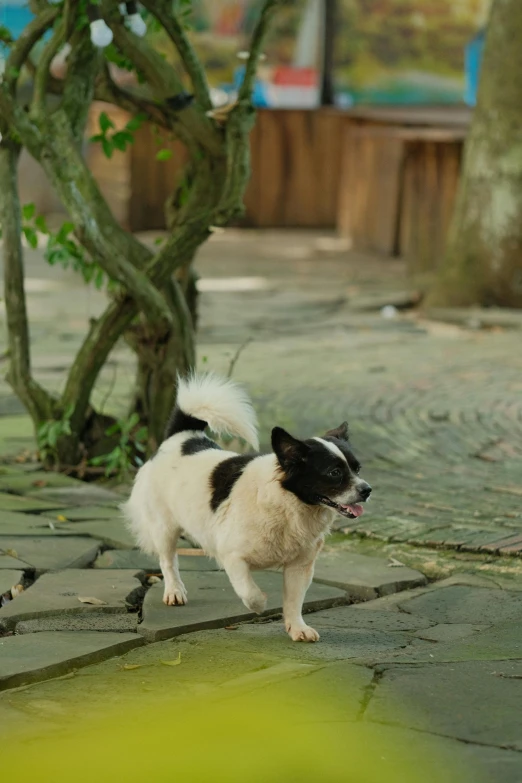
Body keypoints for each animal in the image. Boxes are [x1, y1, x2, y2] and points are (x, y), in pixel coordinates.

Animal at [123, 376, 370, 644]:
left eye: (357, 468)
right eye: (334, 473)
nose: (367, 490)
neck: (289, 503)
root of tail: (182, 437)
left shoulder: (299, 567)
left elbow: (294, 601)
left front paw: (297, 627)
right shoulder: (232, 556)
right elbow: (248, 590)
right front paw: (260, 603)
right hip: (165, 528)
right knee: (168, 561)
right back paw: (174, 590)